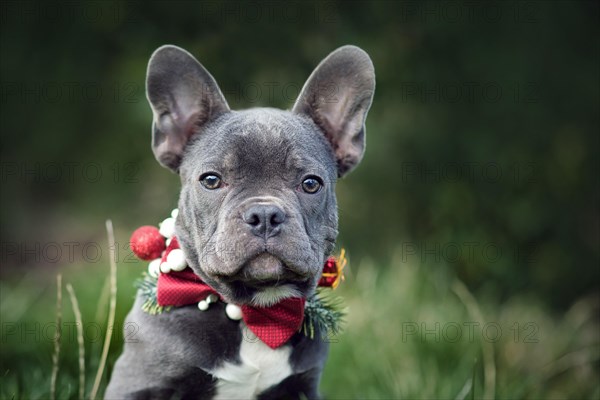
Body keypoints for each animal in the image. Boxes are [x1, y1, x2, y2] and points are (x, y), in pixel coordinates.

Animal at [105, 44, 372, 400]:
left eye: (311, 184)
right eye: (211, 180)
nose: (265, 215)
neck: (256, 313)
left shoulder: (302, 387)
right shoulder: (138, 383)